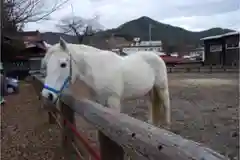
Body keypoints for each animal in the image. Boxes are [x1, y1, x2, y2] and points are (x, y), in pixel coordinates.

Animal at [41, 37, 171, 127]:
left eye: (63, 64)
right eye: (46, 64)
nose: (47, 95)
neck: (99, 68)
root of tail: (156, 55)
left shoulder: (113, 102)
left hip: (161, 87)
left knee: (166, 103)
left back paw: (167, 125)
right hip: (150, 90)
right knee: (151, 103)